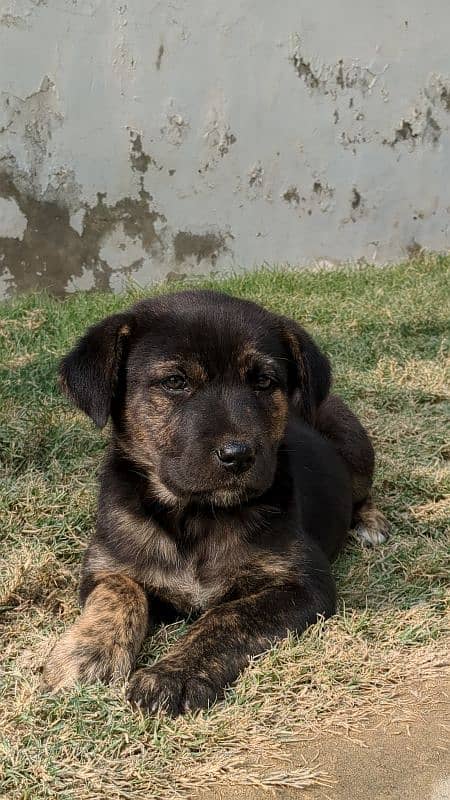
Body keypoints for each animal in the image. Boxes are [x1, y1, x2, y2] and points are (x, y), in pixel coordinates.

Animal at [42, 290, 386, 716]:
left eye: (263, 381)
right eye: (175, 382)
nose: (238, 456)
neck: (195, 516)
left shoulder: (306, 583)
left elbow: (229, 615)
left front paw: (173, 674)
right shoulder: (103, 566)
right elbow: (120, 591)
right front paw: (87, 652)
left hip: (353, 440)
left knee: (363, 491)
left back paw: (371, 523)